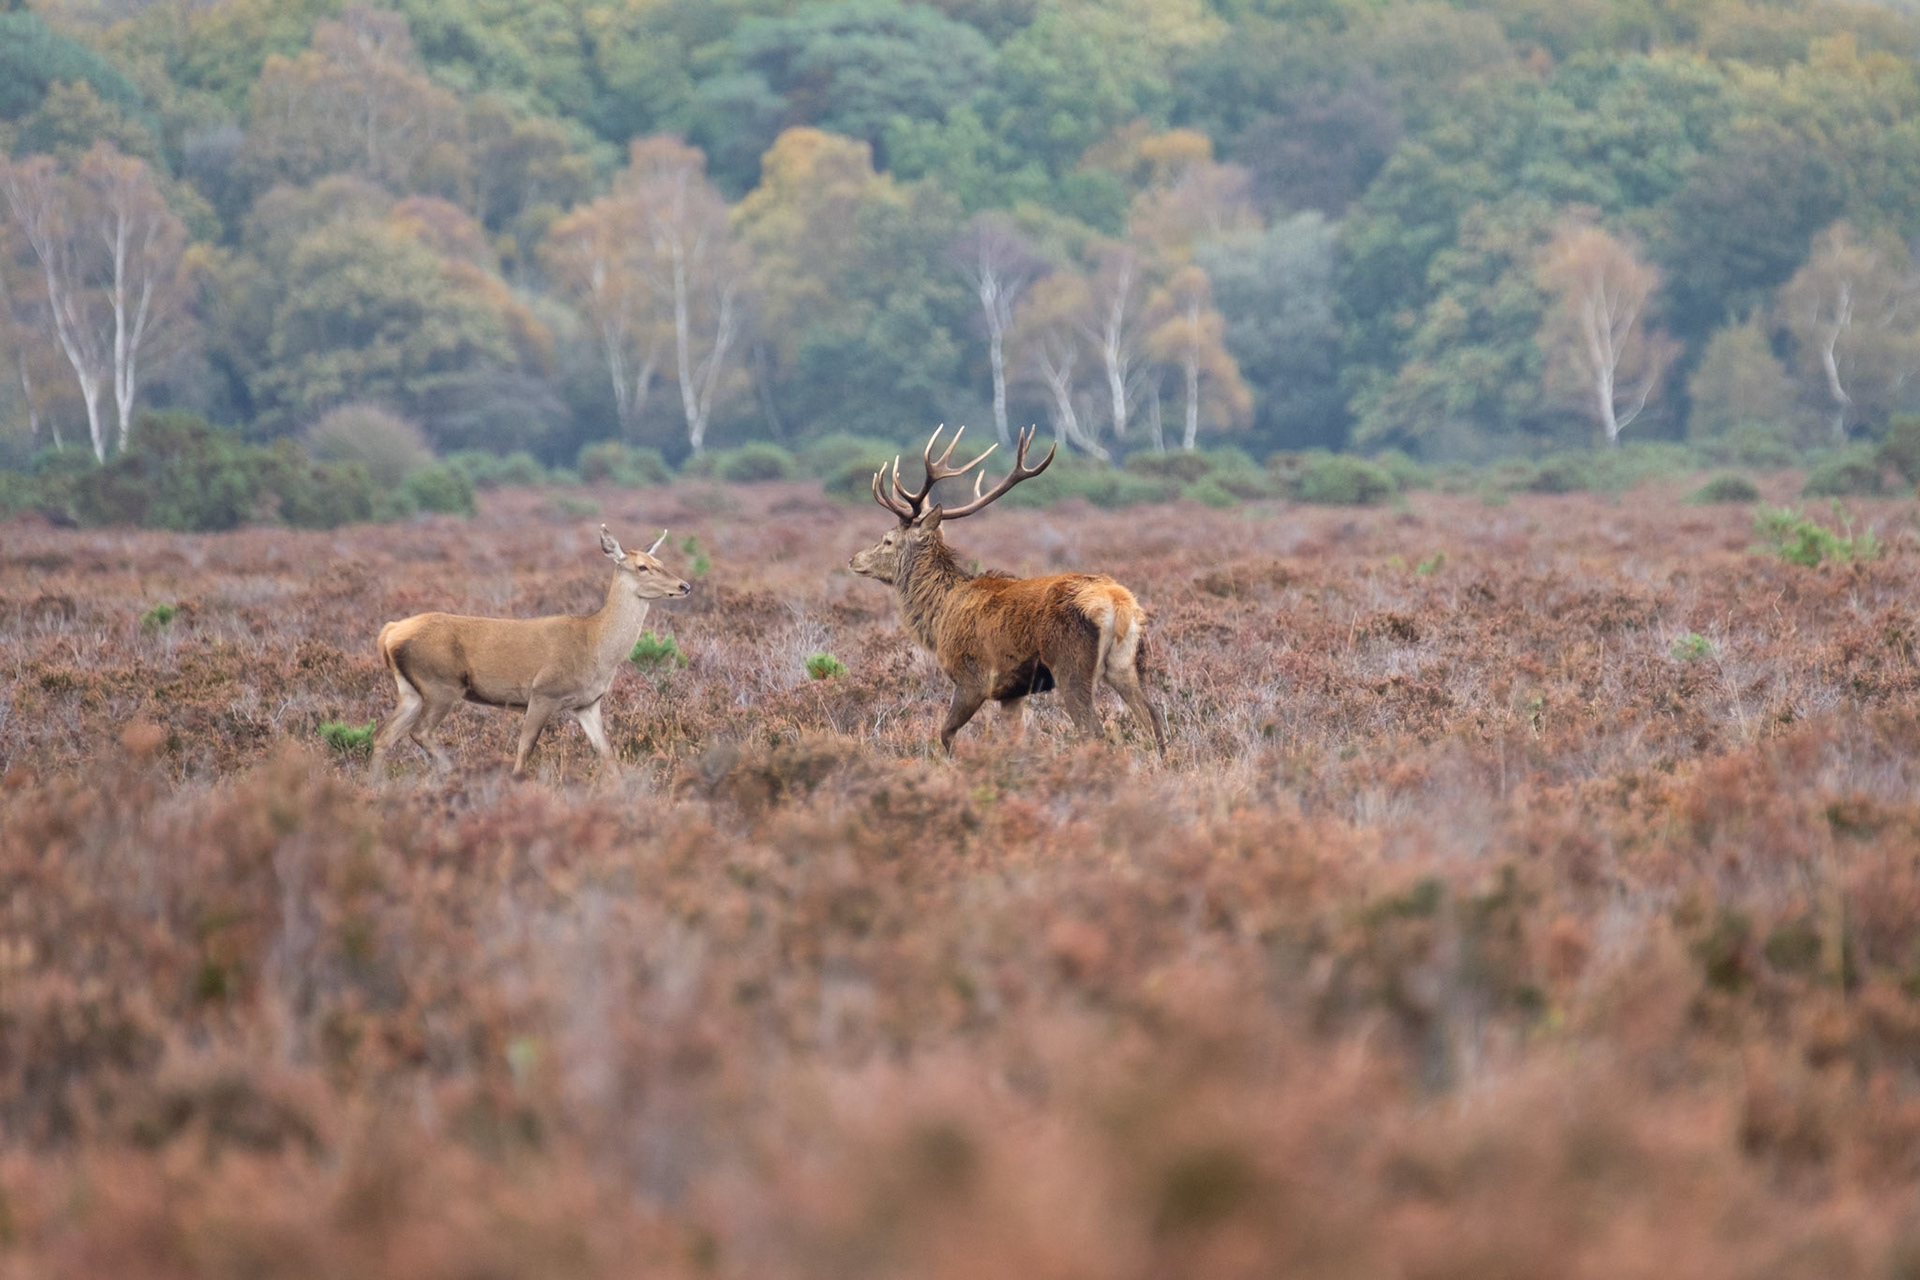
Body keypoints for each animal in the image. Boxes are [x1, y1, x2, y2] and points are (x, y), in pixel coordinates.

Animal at [369, 525, 691, 779]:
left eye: (660, 560)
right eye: (642, 567)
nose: (685, 585)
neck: (597, 648)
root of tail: (390, 632)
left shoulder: (588, 703)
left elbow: (606, 753)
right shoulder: (543, 692)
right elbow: (525, 749)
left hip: (411, 689)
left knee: (383, 736)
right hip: (440, 682)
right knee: (419, 731)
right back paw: (455, 771)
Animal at [849, 425, 1167, 755]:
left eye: (887, 540)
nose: (853, 559)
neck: (939, 617)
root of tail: (1118, 603)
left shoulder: (973, 678)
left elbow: (946, 733)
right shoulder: (1012, 691)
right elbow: (1013, 739)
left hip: (1070, 662)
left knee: (1093, 729)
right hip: (1124, 663)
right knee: (1153, 718)